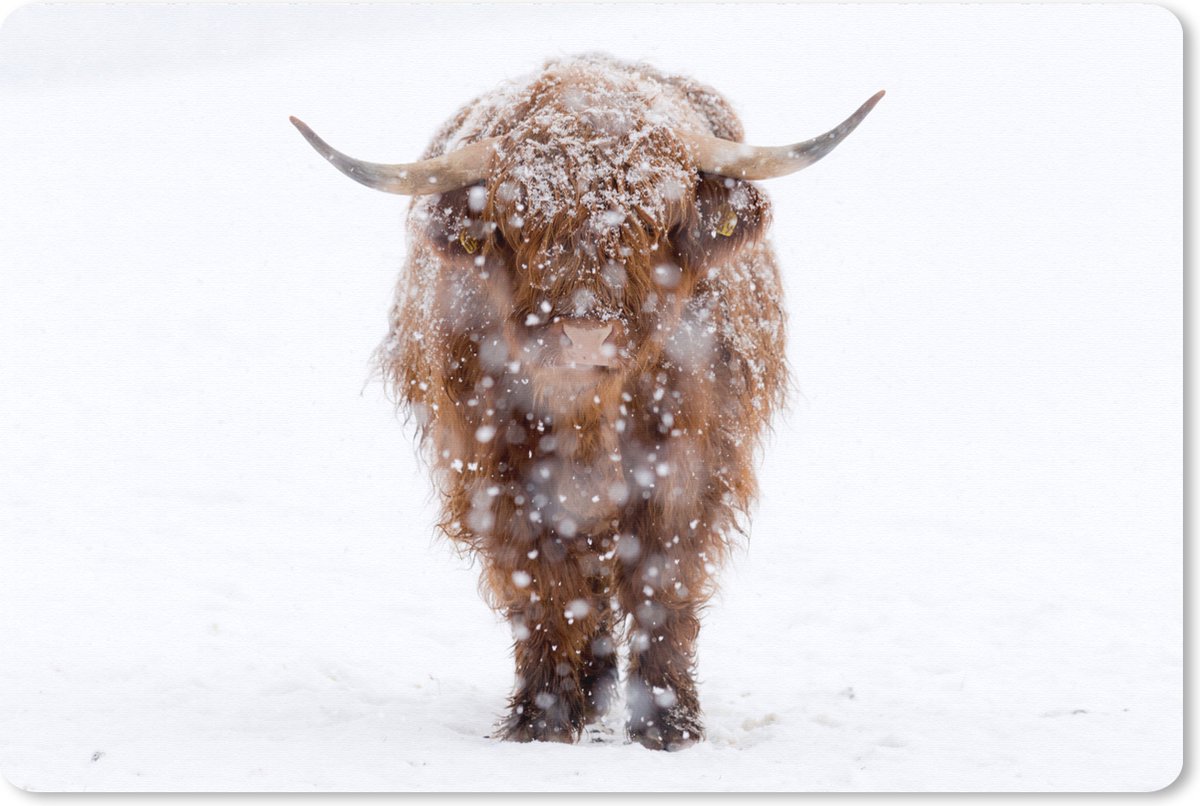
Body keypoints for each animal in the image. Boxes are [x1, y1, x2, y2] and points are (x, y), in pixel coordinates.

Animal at [292, 53, 881, 750]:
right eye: (522, 221)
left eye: (656, 219)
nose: (585, 334)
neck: (589, 413)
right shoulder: (499, 475)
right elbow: (543, 589)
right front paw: (541, 718)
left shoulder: (688, 465)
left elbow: (662, 580)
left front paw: (667, 725)